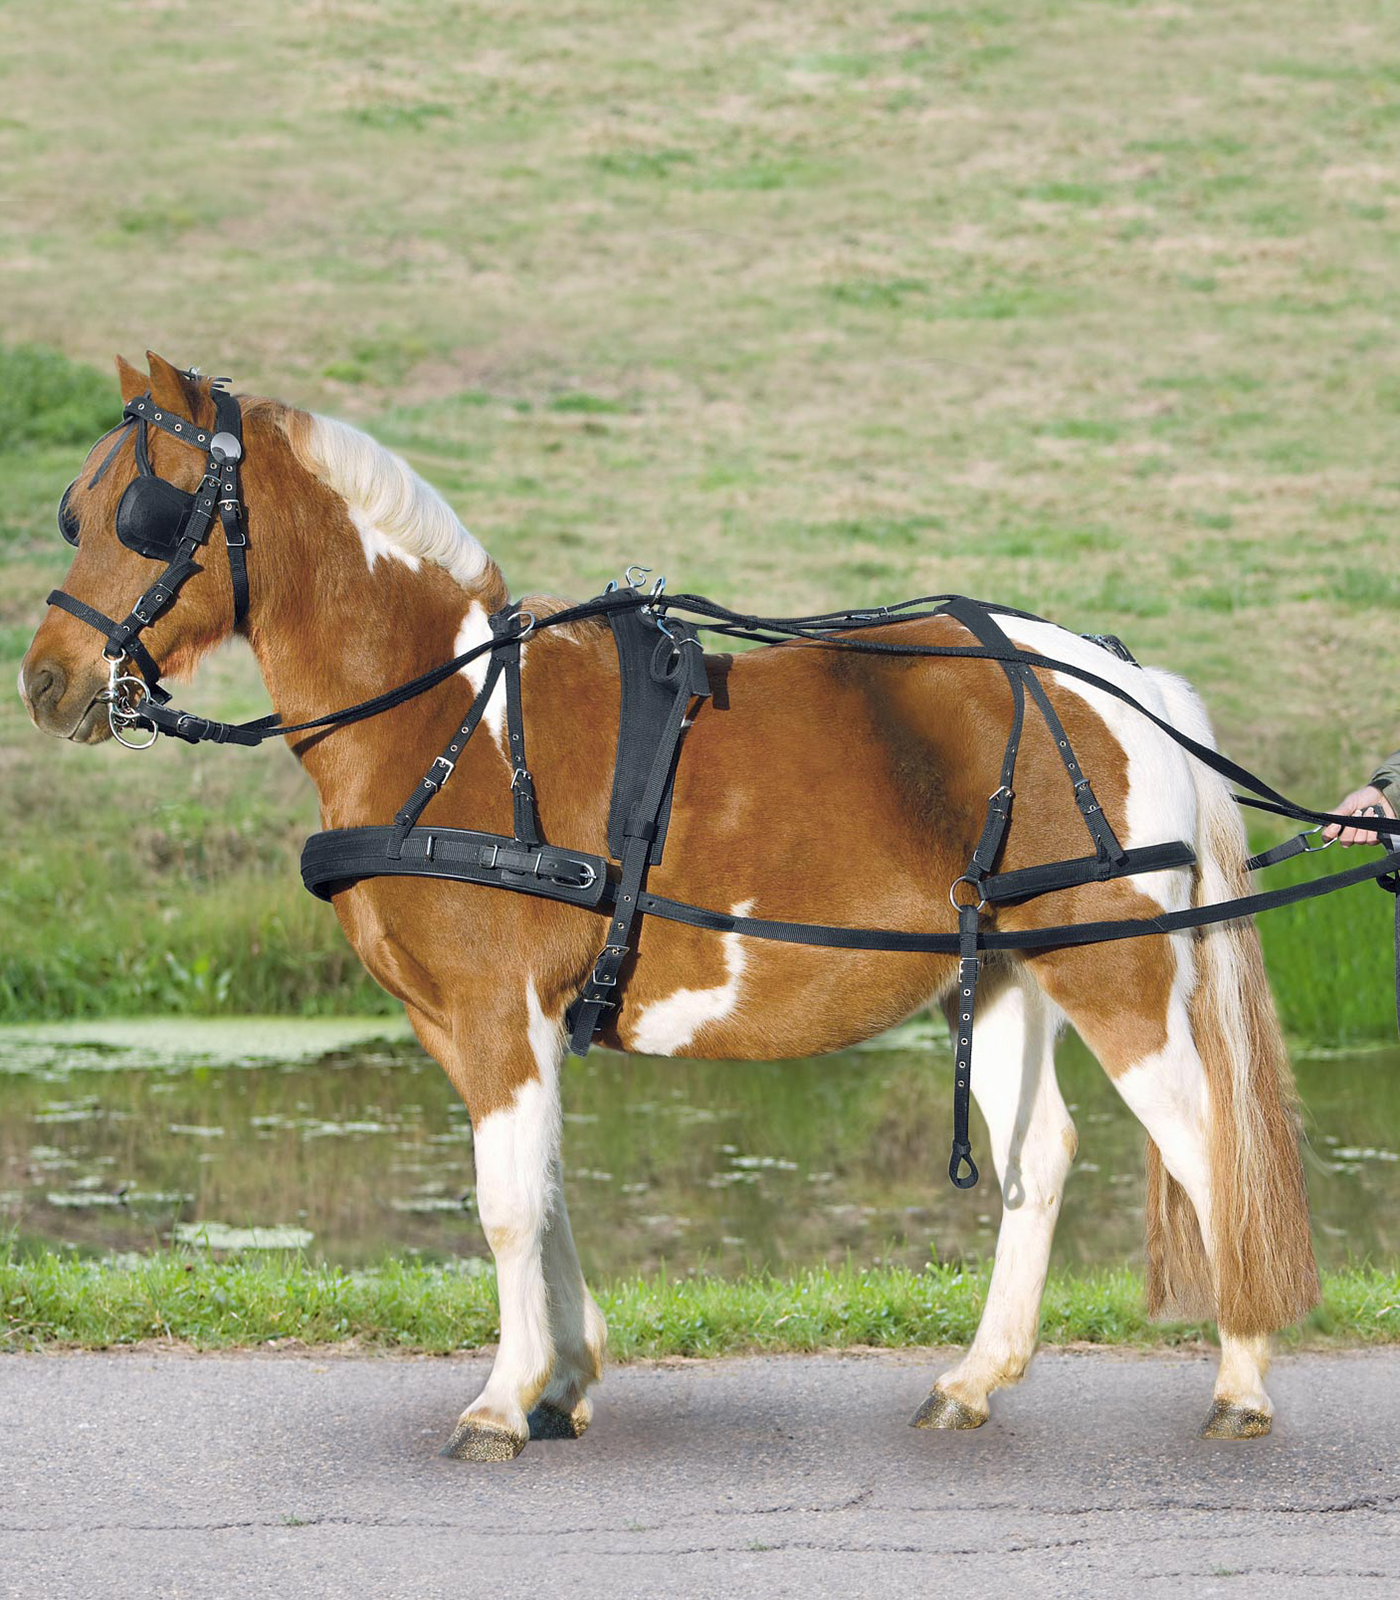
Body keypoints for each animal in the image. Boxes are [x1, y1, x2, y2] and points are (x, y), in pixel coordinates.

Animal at [16, 360, 1318, 1465]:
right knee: (1035, 1158)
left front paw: (500, 1400)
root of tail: (1126, 682)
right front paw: (560, 1379)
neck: (447, 717)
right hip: (1003, 968)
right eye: (77, 510)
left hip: (1114, 973)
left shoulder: (492, 1010)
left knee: (1207, 1143)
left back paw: (1240, 1379)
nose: (46, 681)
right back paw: (971, 1379)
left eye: (147, 510)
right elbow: (540, 1189)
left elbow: (502, 1204)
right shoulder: (485, 1024)